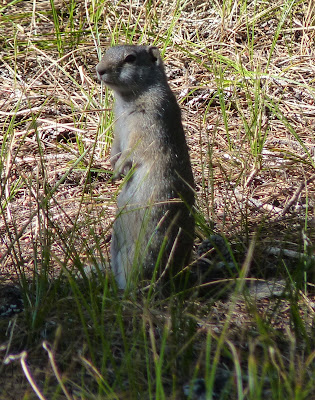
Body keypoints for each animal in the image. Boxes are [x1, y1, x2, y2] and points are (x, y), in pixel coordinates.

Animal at [96, 45, 195, 290]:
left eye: (130, 58)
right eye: (107, 50)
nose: (99, 69)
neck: (128, 98)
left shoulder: (148, 120)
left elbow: (134, 149)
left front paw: (119, 169)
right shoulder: (118, 128)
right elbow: (116, 147)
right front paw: (113, 166)